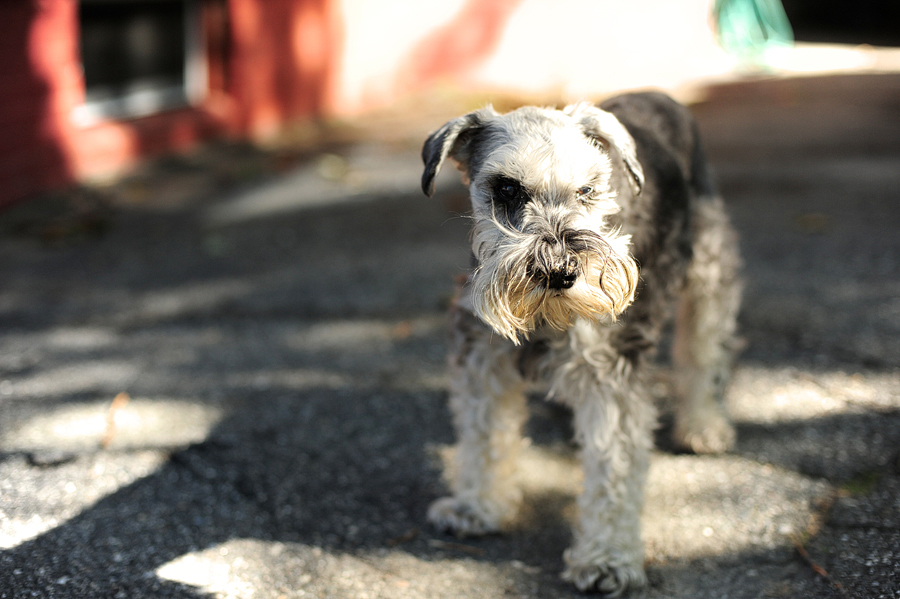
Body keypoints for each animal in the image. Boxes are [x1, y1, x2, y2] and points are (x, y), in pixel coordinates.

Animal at [418, 94, 740, 596]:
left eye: (588, 189)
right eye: (507, 188)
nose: (560, 272)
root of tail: (663, 97)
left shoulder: (612, 376)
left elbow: (614, 470)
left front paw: (607, 558)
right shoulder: (481, 357)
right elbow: (484, 435)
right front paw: (476, 505)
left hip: (710, 268)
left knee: (704, 351)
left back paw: (704, 424)